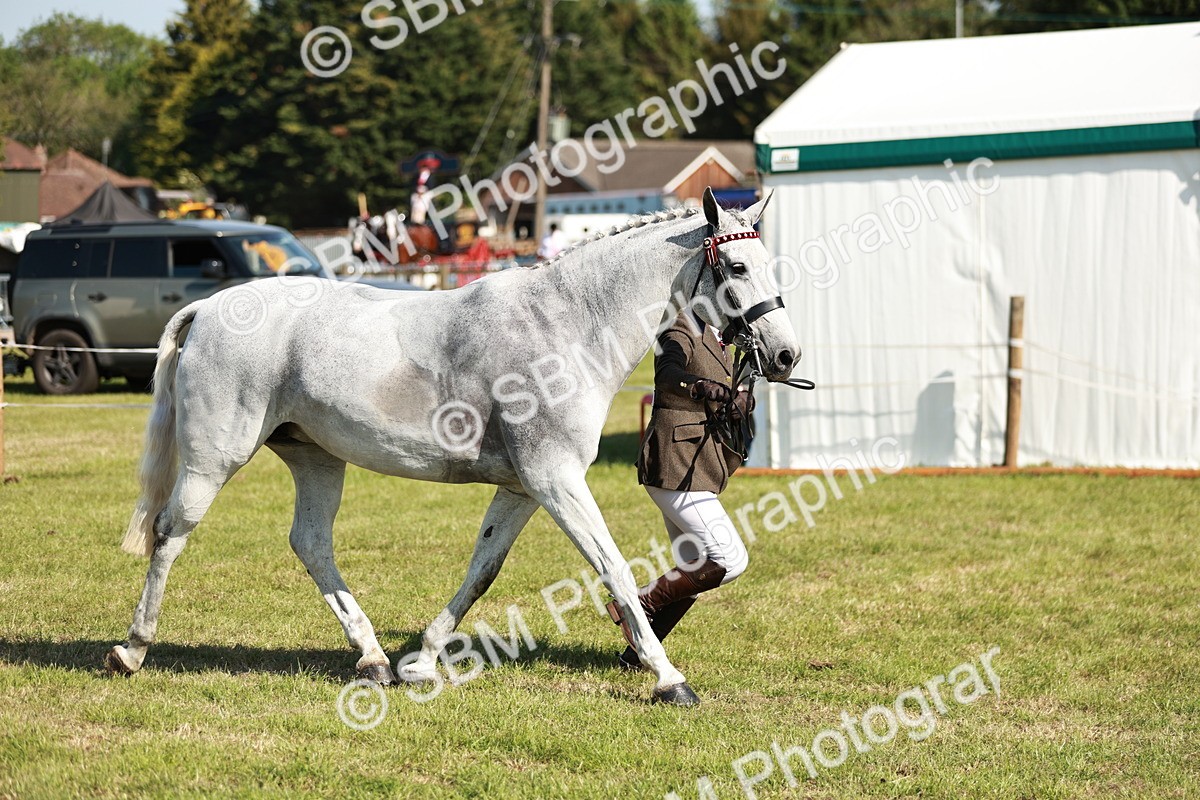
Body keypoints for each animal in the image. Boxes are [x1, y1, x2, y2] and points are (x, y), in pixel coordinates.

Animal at [105, 188, 800, 706]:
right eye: (738, 268)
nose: (786, 355)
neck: (568, 324)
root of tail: (209, 306)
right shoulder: (556, 480)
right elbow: (614, 568)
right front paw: (669, 680)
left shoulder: (524, 488)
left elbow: (482, 570)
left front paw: (422, 661)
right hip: (213, 460)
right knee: (171, 532)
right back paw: (132, 650)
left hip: (316, 458)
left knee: (310, 543)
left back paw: (374, 658)